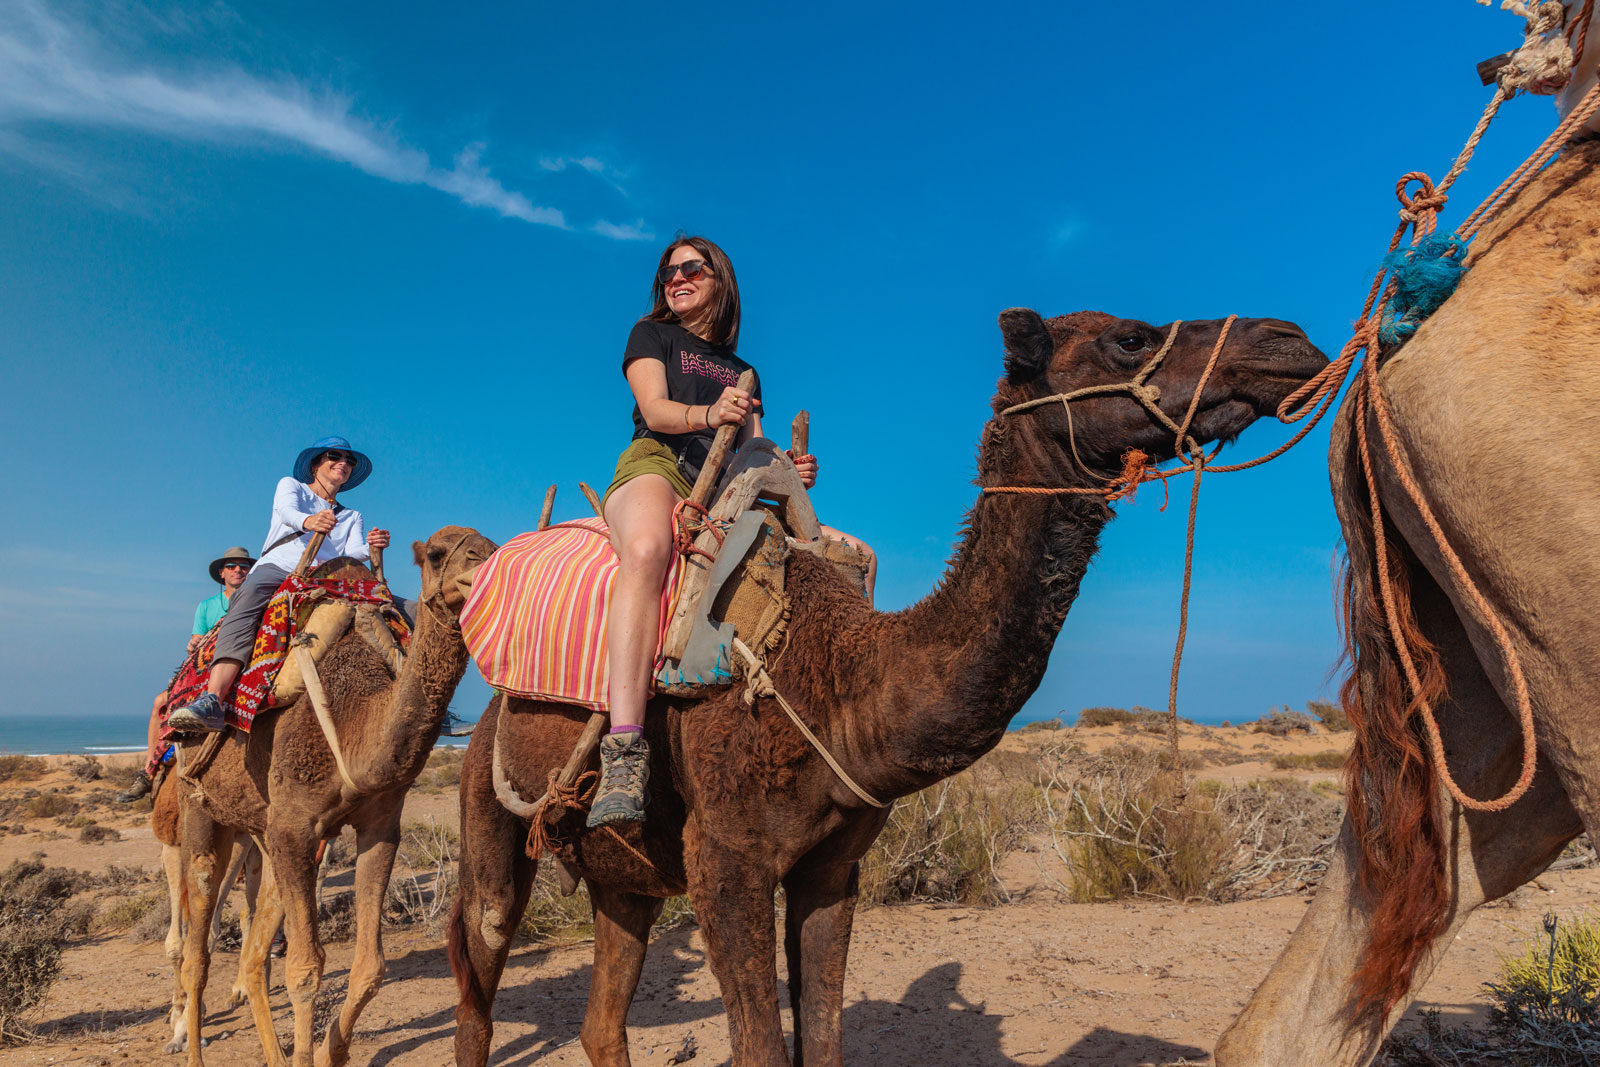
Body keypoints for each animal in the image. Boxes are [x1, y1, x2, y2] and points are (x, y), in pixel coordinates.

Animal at [172, 524, 495, 1067]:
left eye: (495, 548)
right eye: (436, 554)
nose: (482, 568)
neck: (355, 719)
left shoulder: (378, 828)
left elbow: (371, 967)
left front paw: (329, 1052)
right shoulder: (295, 828)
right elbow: (305, 969)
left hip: (260, 833)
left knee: (254, 953)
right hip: (199, 806)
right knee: (198, 947)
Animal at [448, 307, 1328, 1066]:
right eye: (1131, 336)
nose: (1290, 340)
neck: (842, 678)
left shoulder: (835, 866)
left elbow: (825, 1040)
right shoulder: (725, 858)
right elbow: (763, 1048)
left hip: (623, 876)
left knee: (602, 1014)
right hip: (489, 800)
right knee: (480, 954)